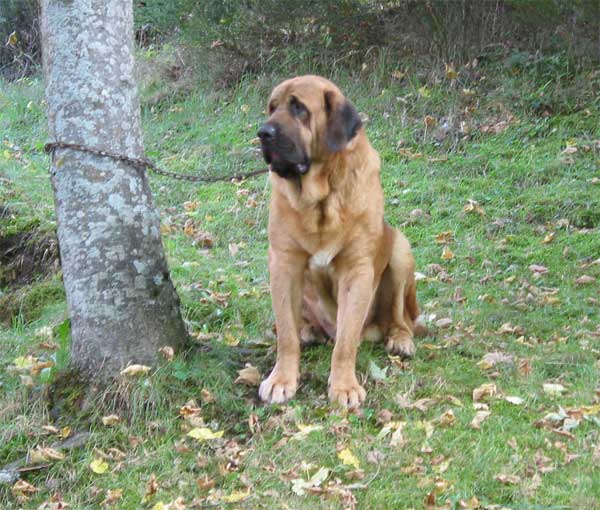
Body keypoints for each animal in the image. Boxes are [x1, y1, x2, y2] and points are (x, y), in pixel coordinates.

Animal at [258, 75, 422, 408]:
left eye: (298, 108)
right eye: (272, 107)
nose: (263, 133)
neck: (322, 197)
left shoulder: (356, 270)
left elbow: (346, 342)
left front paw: (345, 386)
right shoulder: (283, 263)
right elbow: (286, 335)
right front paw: (281, 379)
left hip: (401, 251)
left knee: (402, 319)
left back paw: (400, 339)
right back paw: (309, 330)